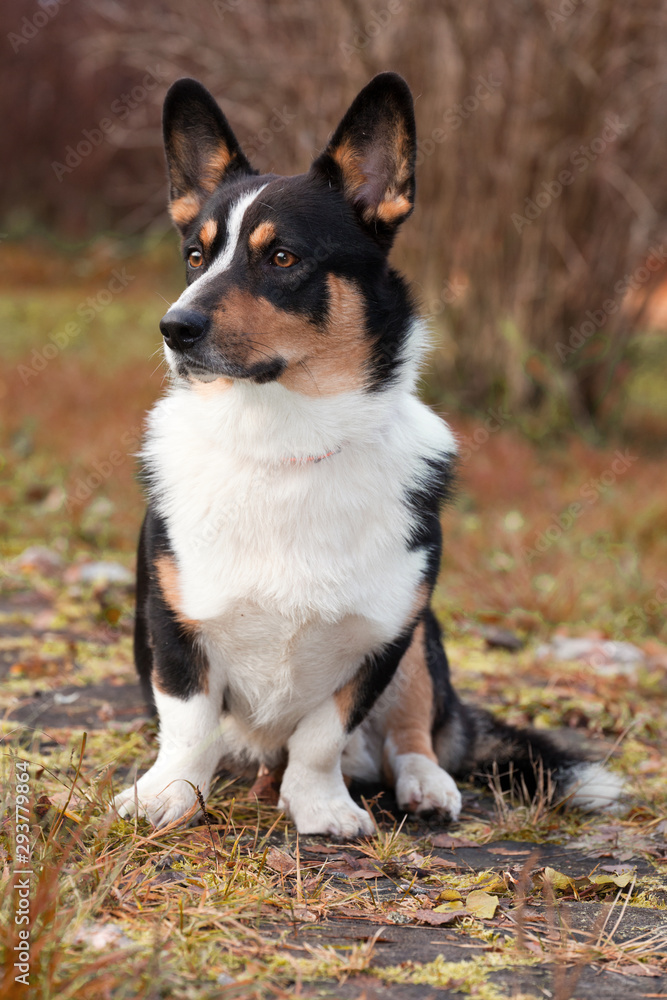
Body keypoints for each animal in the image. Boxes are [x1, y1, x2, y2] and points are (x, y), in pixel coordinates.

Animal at [112, 72, 624, 836]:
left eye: (282, 257)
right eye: (196, 257)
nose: (174, 327)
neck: (285, 442)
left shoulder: (381, 637)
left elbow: (322, 735)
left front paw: (320, 807)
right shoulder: (176, 625)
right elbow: (189, 724)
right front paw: (167, 796)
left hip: (422, 641)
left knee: (412, 736)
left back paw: (426, 785)